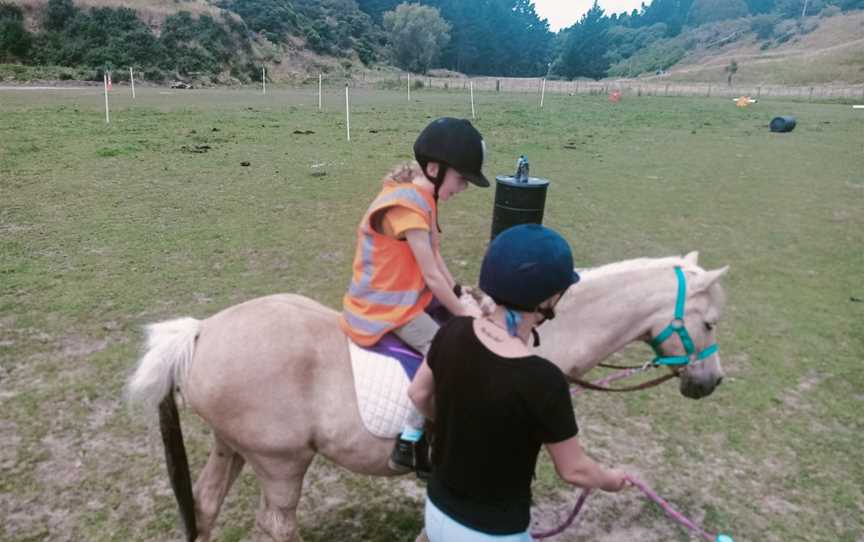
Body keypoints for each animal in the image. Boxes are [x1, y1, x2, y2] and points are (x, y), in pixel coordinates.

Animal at [125, 253, 724, 542]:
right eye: (711, 322)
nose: (711, 382)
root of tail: (202, 331)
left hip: (231, 448)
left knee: (205, 507)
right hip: (280, 465)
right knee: (277, 528)